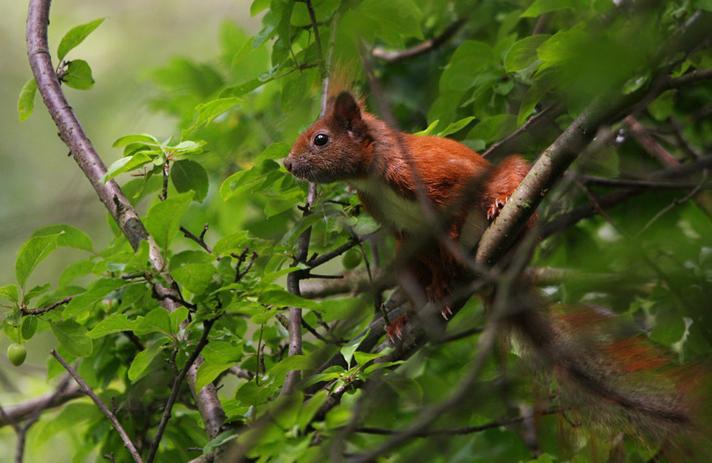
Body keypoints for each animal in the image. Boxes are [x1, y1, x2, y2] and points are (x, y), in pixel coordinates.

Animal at [284, 91, 708, 456]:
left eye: (321, 139)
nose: (287, 164)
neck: (372, 173)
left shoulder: (434, 176)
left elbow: (456, 213)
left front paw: (460, 248)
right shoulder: (403, 230)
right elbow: (430, 253)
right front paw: (436, 288)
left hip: (517, 193)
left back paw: (498, 211)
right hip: (405, 257)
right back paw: (405, 317)